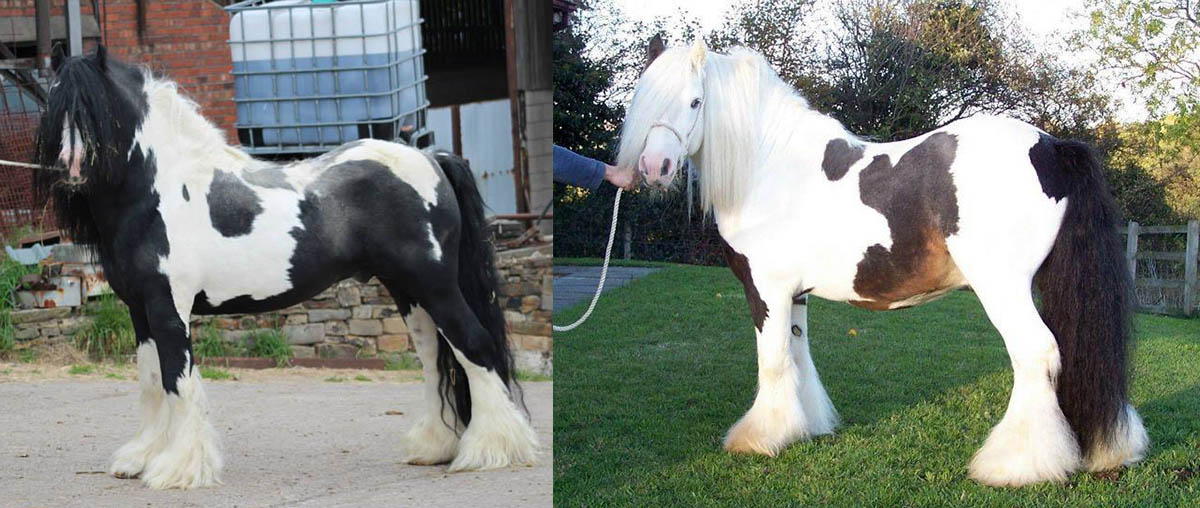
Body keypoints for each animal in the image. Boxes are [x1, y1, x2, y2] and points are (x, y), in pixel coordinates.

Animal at [34, 47, 540, 489]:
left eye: (96, 108)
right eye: (55, 103)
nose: (71, 169)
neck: (160, 192)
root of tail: (431, 158)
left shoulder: (168, 308)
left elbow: (177, 380)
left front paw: (178, 469)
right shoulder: (140, 311)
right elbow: (151, 381)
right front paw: (141, 458)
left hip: (436, 287)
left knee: (474, 346)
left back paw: (491, 449)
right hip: (409, 293)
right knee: (435, 359)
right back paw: (435, 447)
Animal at [624, 38, 1147, 485]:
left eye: (695, 102)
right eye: (644, 97)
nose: (654, 169)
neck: (769, 167)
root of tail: (1050, 146)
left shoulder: (765, 290)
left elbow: (772, 361)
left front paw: (758, 438)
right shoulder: (795, 295)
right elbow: (797, 355)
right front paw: (804, 426)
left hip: (1003, 287)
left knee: (1036, 353)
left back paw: (1015, 465)